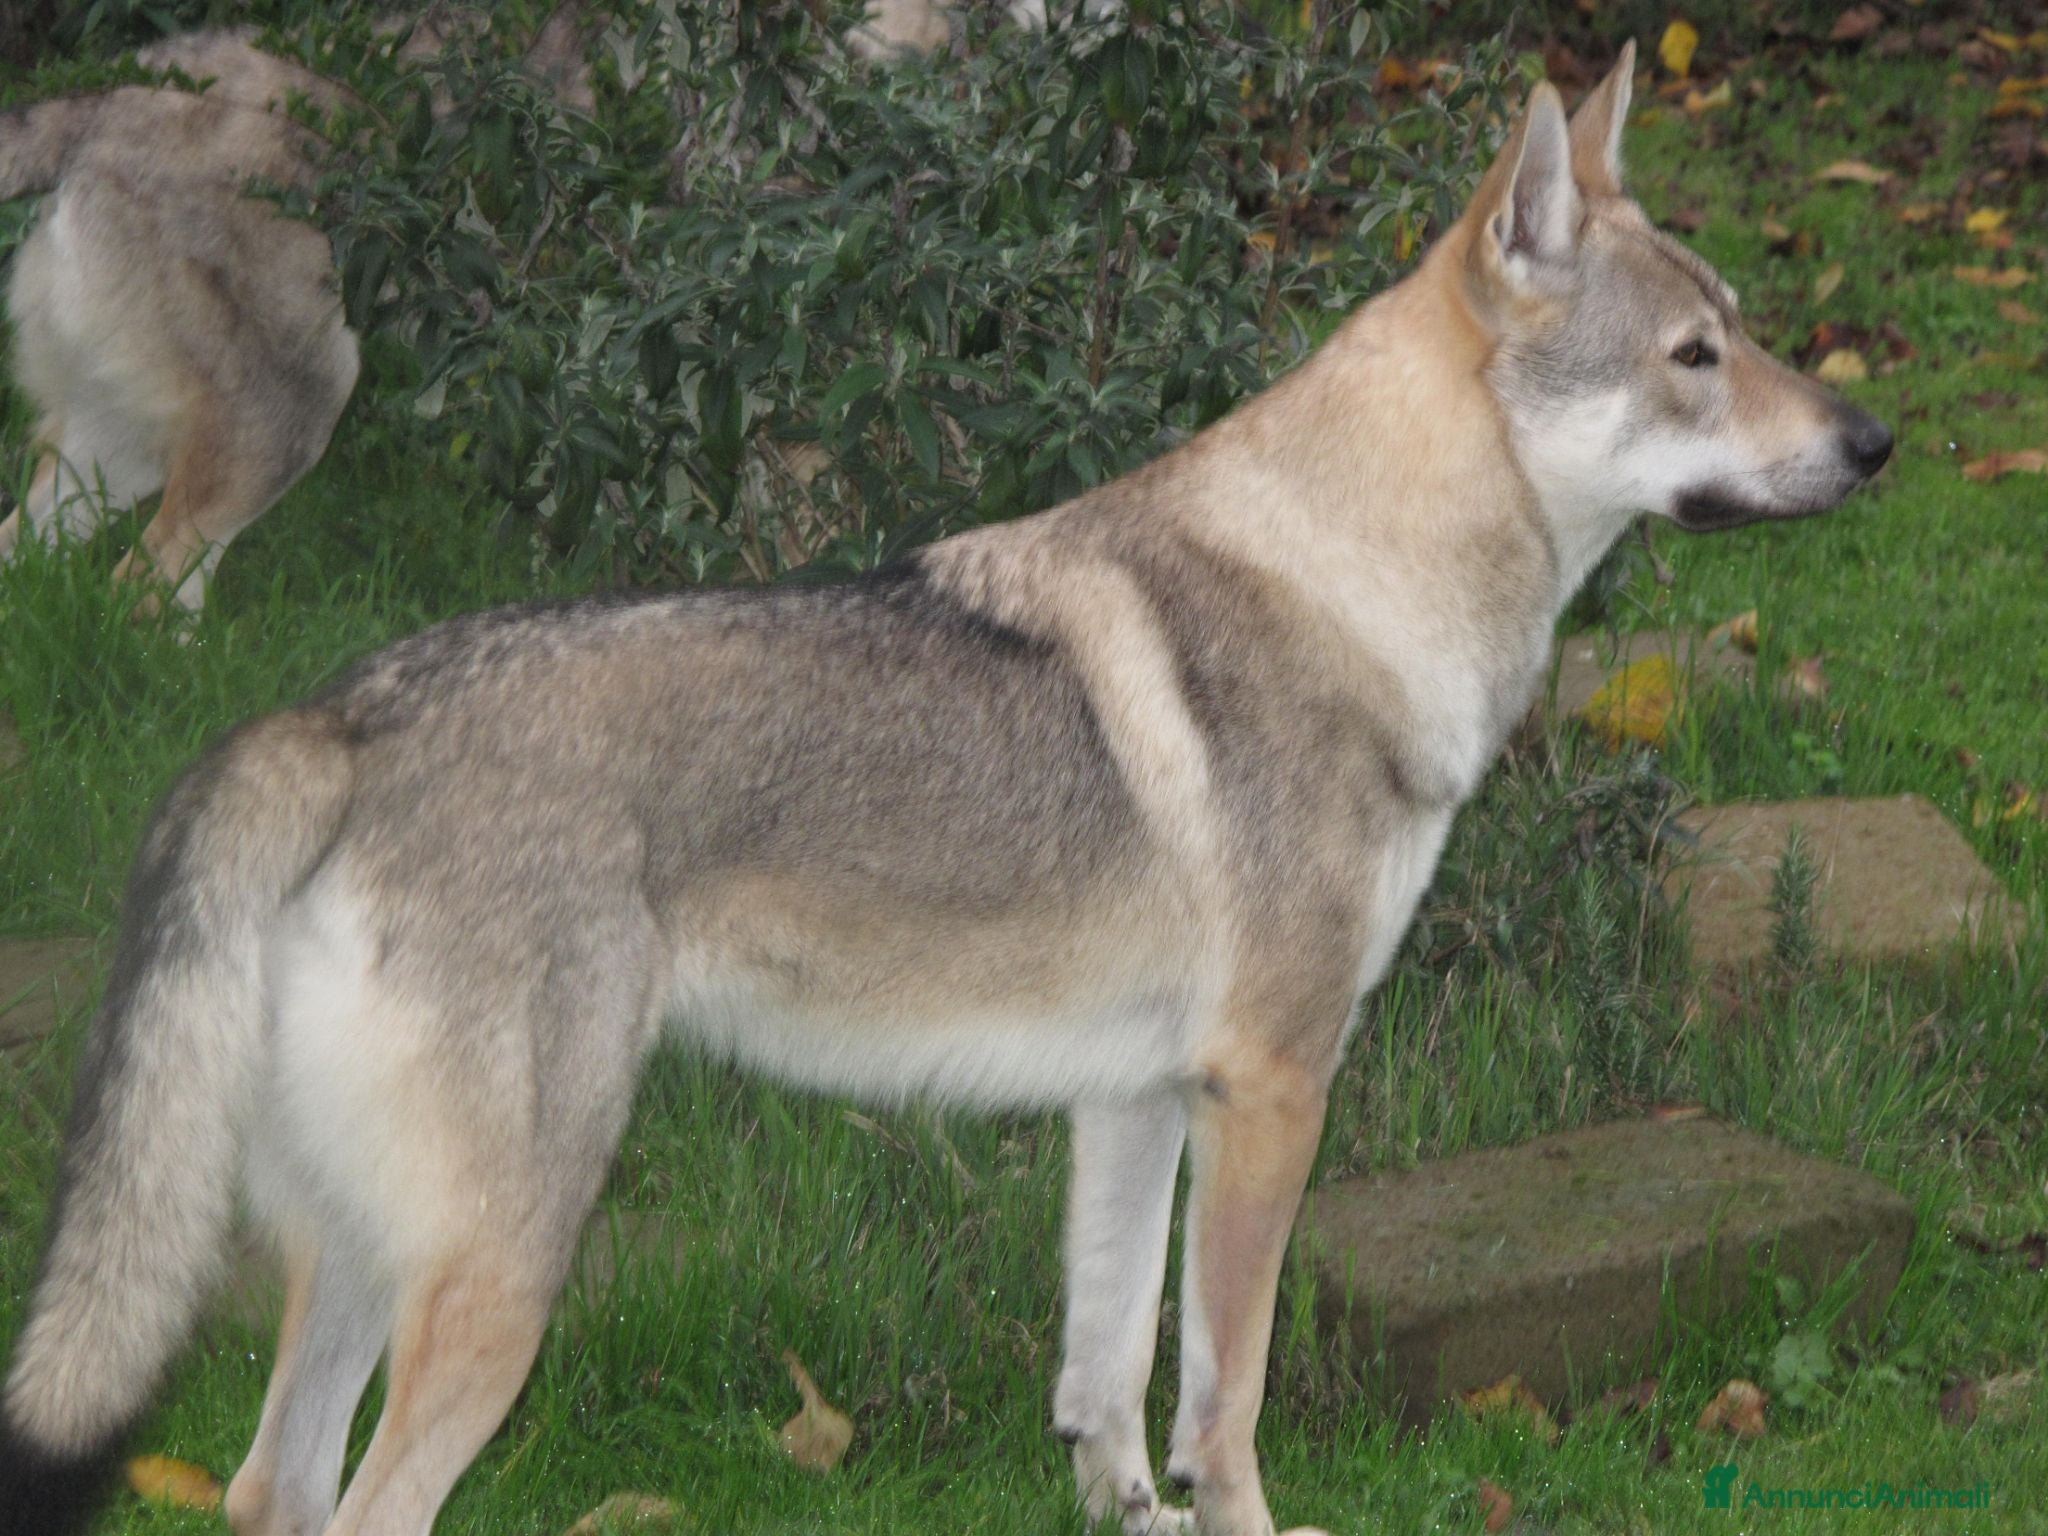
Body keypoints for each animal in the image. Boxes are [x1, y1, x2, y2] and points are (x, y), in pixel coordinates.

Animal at [0, 43, 1889, 1536]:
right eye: (1693, 357)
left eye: (1746, 334)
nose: (1872, 446)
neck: (1350, 586)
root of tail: (334, 715)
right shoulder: (1272, 1091)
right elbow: (1224, 1402)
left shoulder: (1138, 1101)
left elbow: (1107, 1381)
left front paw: (1121, 1510)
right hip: (498, 1277)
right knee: (372, 1500)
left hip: (366, 1255)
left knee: (274, 1489)